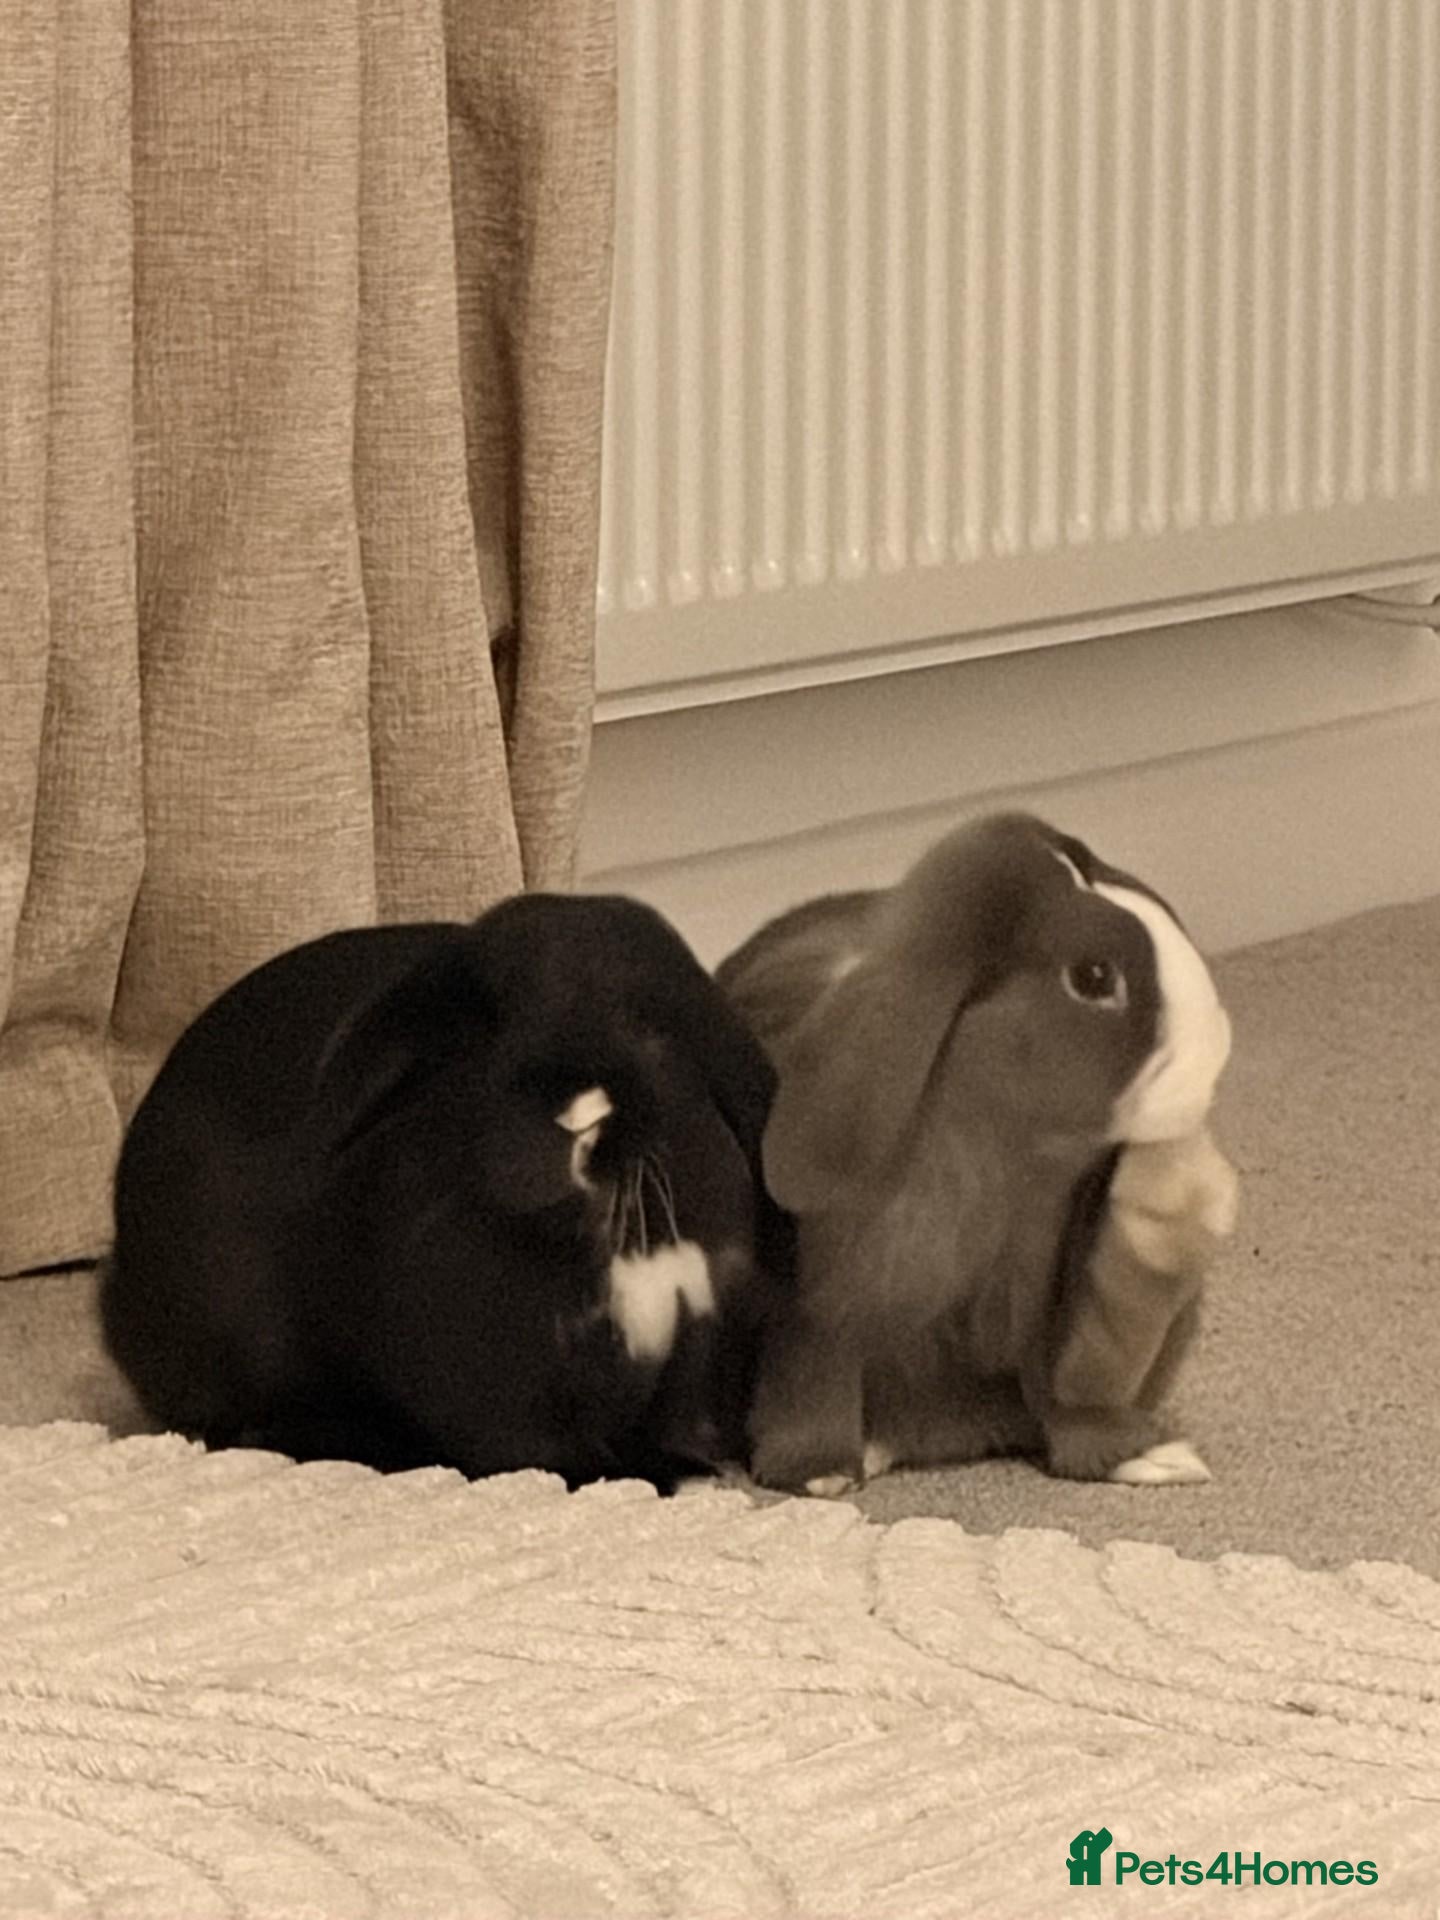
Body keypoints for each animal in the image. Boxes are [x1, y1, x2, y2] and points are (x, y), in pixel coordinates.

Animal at [100, 892, 793, 1494]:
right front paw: (650, 1479)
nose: (580, 1115)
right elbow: (549, 1453)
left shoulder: (697, 1344)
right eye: (492, 1028)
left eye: (649, 1026)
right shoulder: (496, 1388)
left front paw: (694, 1469)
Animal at [714, 810, 1239, 1497]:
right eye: (1094, 977)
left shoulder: (1050, 1306)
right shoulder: (818, 1312)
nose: (1216, 1051)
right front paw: (821, 1478)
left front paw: (1146, 1458)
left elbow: (1064, 1398)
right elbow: (814, 1381)